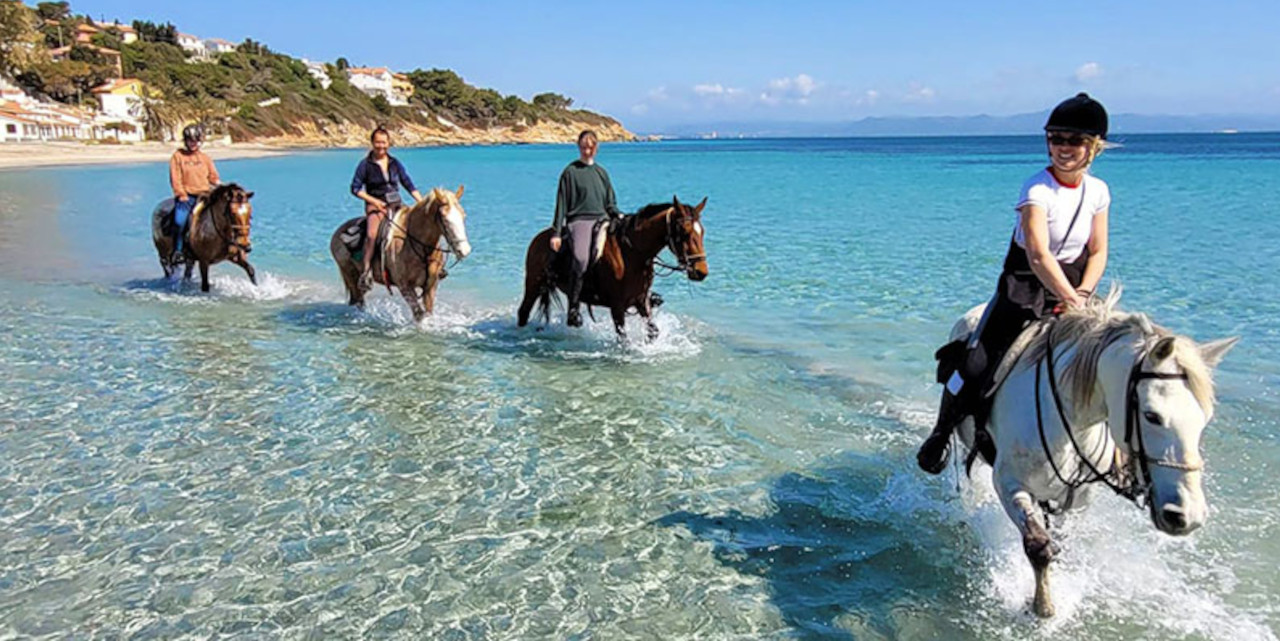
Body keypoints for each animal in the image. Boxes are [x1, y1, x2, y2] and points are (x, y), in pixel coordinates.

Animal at [327, 186, 473, 322]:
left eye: (463, 215)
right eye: (445, 219)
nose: (464, 250)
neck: (421, 248)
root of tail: (338, 232)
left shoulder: (430, 286)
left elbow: (428, 313)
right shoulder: (405, 287)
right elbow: (419, 315)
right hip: (349, 274)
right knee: (358, 300)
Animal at [514, 194, 711, 340]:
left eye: (702, 231)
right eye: (684, 232)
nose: (701, 271)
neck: (632, 253)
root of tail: (540, 237)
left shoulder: (641, 301)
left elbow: (653, 331)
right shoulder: (617, 306)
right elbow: (623, 339)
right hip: (533, 284)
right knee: (523, 312)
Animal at [947, 285, 1233, 614]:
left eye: (1205, 419)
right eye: (1152, 415)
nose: (1187, 516)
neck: (1069, 418)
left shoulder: (1077, 498)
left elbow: (1060, 540)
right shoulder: (1009, 485)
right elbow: (1039, 546)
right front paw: (1043, 608)